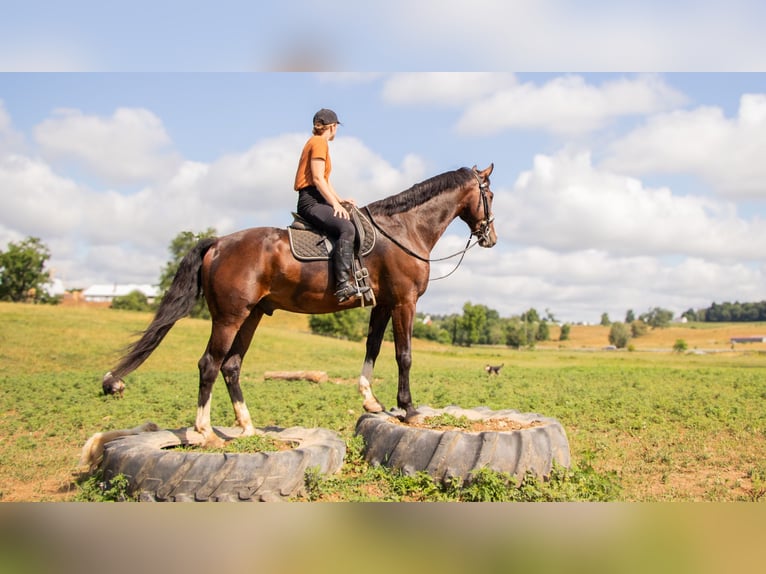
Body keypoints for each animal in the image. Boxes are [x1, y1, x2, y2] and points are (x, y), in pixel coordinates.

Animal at [102, 164, 498, 448]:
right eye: (490, 194)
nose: (491, 237)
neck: (404, 229)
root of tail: (218, 243)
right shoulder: (404, 301)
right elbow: (404, 355)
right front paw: (409, 409)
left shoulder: (383, 303)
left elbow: (372, 348)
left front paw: (370, 401)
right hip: (230, 317)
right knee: (209, 365)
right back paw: (206, 432)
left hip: (252, 316)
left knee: (231, 366)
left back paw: (248, 427)